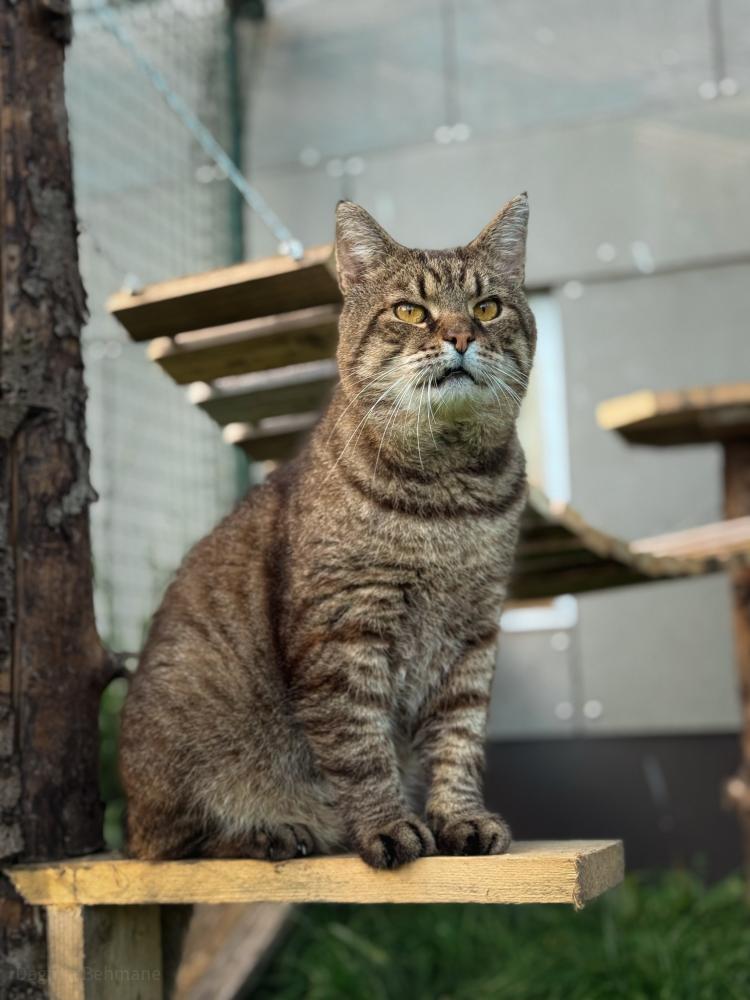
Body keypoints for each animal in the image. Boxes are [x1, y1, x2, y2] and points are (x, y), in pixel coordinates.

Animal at [119, 194, 536, 869]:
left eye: (487, 308)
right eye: (410, 310)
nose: (460, 336)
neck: (451, 500)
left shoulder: (474, 634)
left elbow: (459, 739)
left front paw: (459, 819)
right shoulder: (342, 631)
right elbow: (361, 746)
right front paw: (389, 827)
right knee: (176, 847)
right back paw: (274, 832)